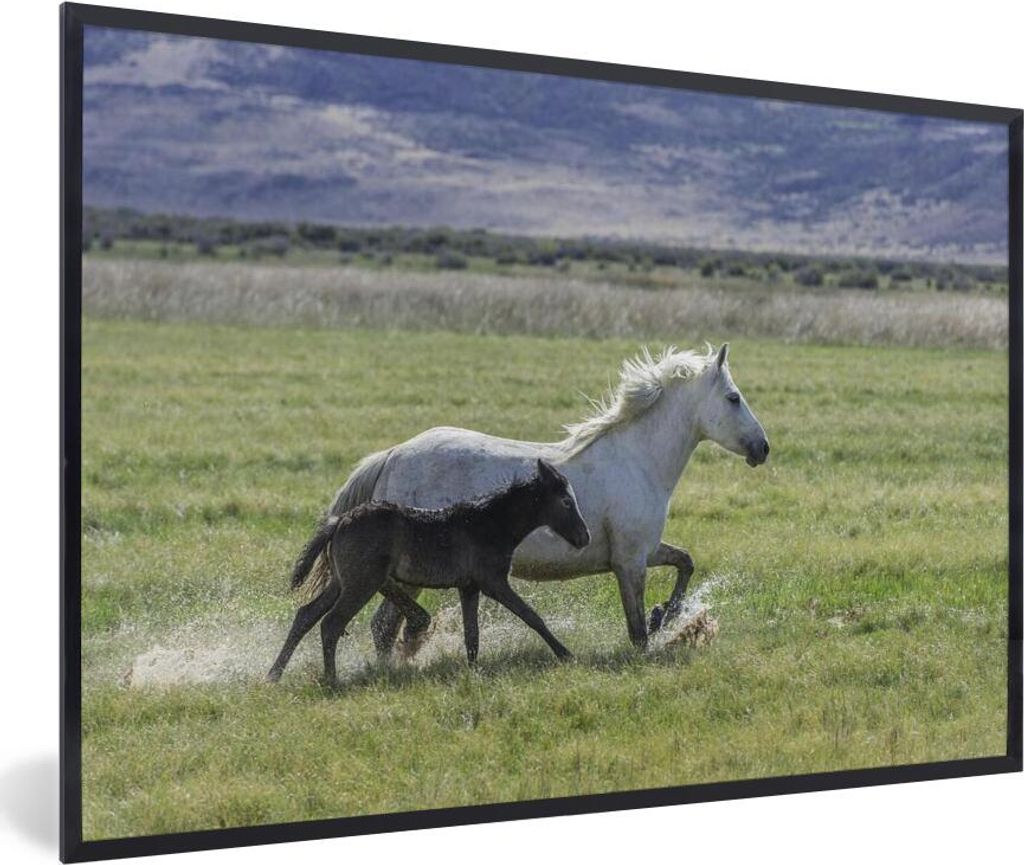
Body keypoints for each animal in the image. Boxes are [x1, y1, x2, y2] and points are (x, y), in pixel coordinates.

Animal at [268, 459, 591, 685]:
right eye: (566, 501)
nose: (584, 537)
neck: (491, 523)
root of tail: (339, 522)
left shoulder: (469, 586)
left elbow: (472, 634)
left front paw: (472, 671)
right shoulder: (493, 581)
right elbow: (531, 616)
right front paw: (565, 654)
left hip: (341, 581)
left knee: (306, 615)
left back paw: (274, 674)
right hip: (362, 583)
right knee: (331, 623)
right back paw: (331, 679)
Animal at [330, 342, 769, 657]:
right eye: (733, 398)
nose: (763, 449)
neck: (638, 461)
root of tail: (393, 455)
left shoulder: (646, 550)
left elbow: (685, 563)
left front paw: (666, 615)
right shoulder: (629, 561)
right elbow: (636, 630)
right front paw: (656, 628)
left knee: (384, 626)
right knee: (383, 622)